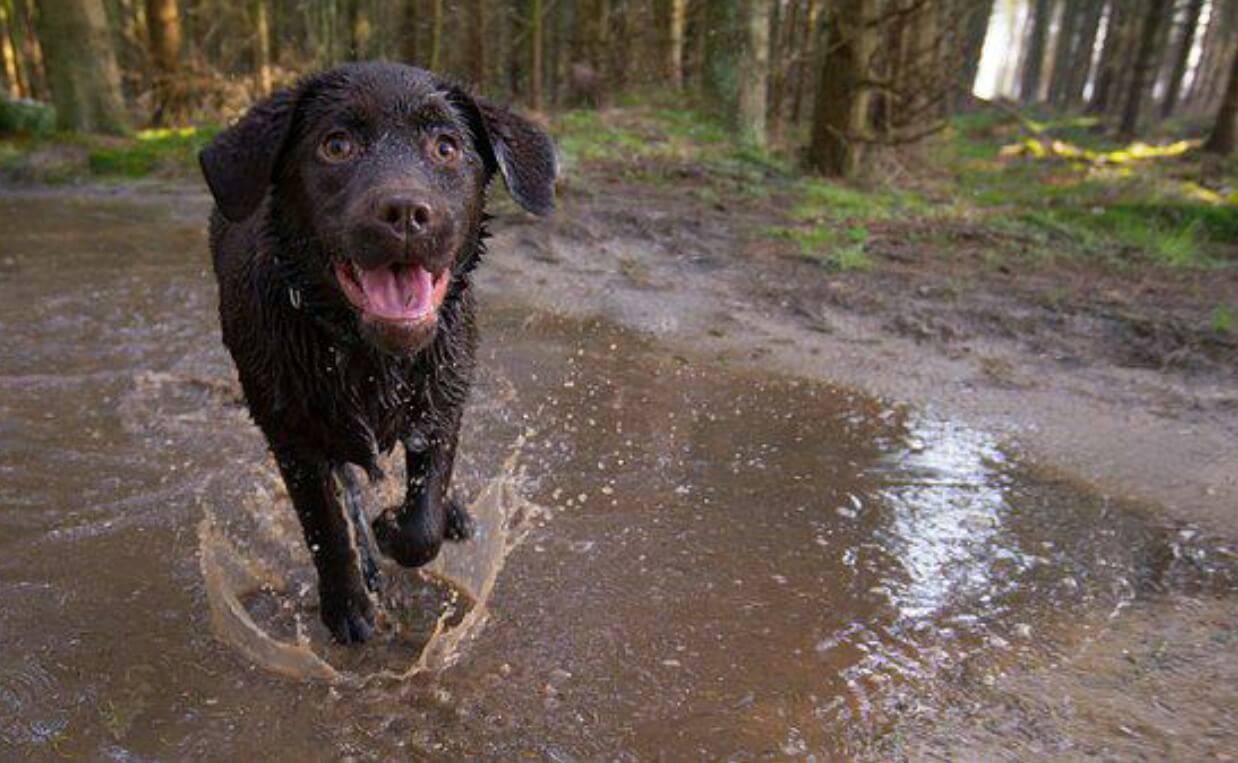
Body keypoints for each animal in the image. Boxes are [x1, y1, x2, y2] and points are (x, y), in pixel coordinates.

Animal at [199, 61, 557, 644]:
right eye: (336, 145)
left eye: (446, 147)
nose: (407, 212)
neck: (368, 358)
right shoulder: (291, 435)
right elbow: (326, 527)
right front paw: (347, 605)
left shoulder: (443, 405)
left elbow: (423, 520)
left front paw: (397, 525)